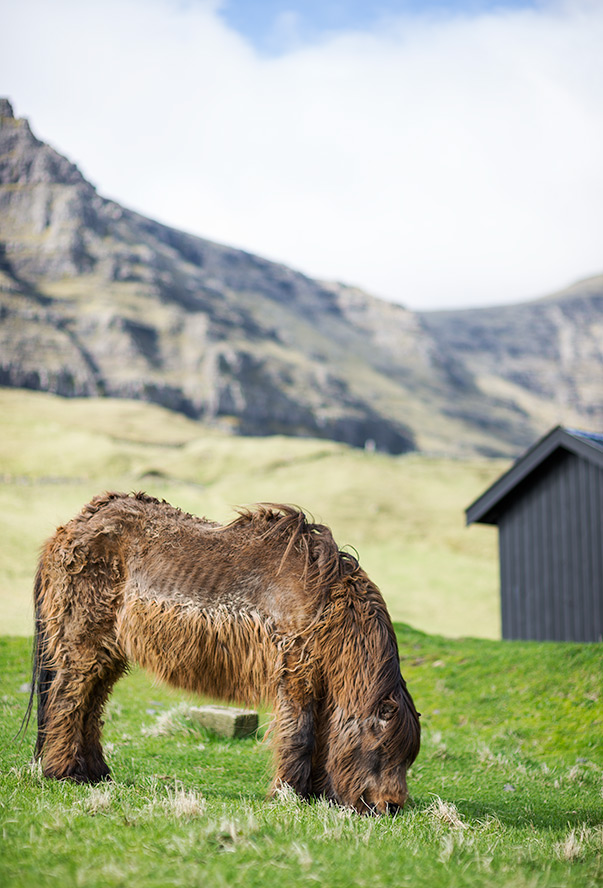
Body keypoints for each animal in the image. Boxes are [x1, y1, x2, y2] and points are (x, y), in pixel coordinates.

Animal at [27, 492, 420, 812]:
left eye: (407, 758)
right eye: (383, 749)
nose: (389, 807)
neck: (326, 600)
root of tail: (70, 528)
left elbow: (321, 736)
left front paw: (315, 793)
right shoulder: (297, 674)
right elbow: (301, 735)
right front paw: (289, 794)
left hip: (109, 653)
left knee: (91, 706)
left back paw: (96, 772)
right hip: (83, 644)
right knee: (69, 699)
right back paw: (64, 772)